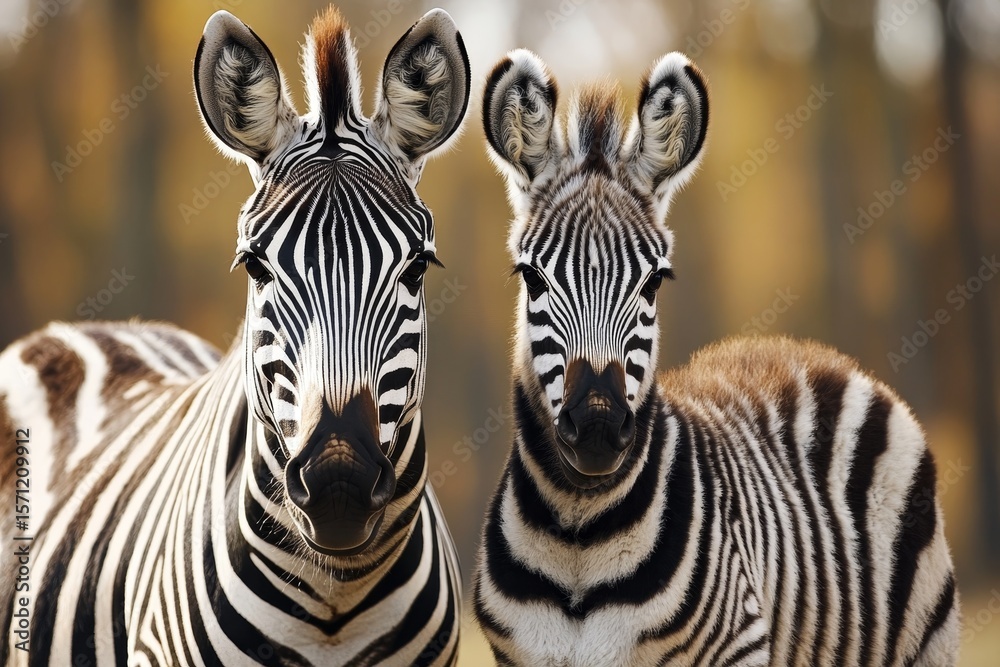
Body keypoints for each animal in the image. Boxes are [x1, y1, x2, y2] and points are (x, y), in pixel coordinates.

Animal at [472, 49, 960, 666]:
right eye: (532, 278)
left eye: (654, 283)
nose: (598, 427)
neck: (578, 539)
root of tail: (814, 356)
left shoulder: (737, 644)